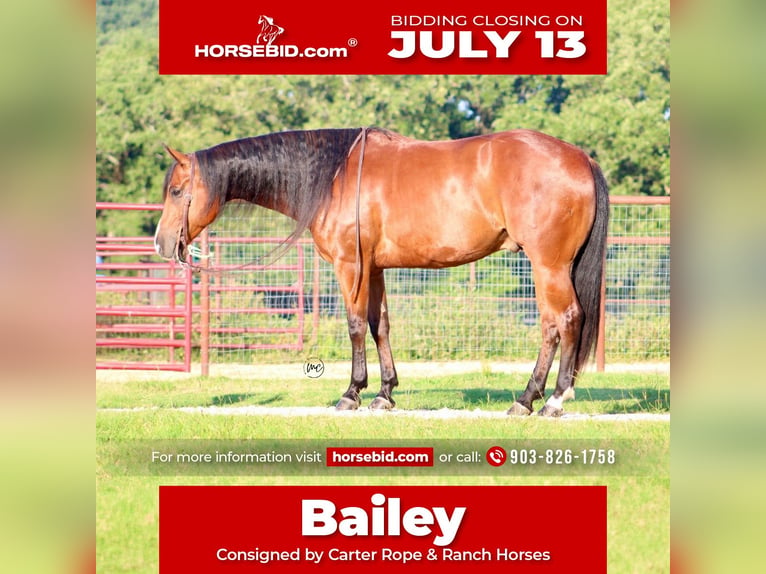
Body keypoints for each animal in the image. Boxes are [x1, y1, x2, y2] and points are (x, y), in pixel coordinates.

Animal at [154, 127, 609, 417]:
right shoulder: (374, 269)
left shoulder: (350, 265)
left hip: (547, 265)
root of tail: (581, 158)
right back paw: (535, 398)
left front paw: (351, 393)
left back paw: (545, 400)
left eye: (177, 191)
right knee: (557, 325)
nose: (161, 244)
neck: (334, 176)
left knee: (563, 321)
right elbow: (380, 325)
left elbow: (356, 326)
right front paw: (385, 393)